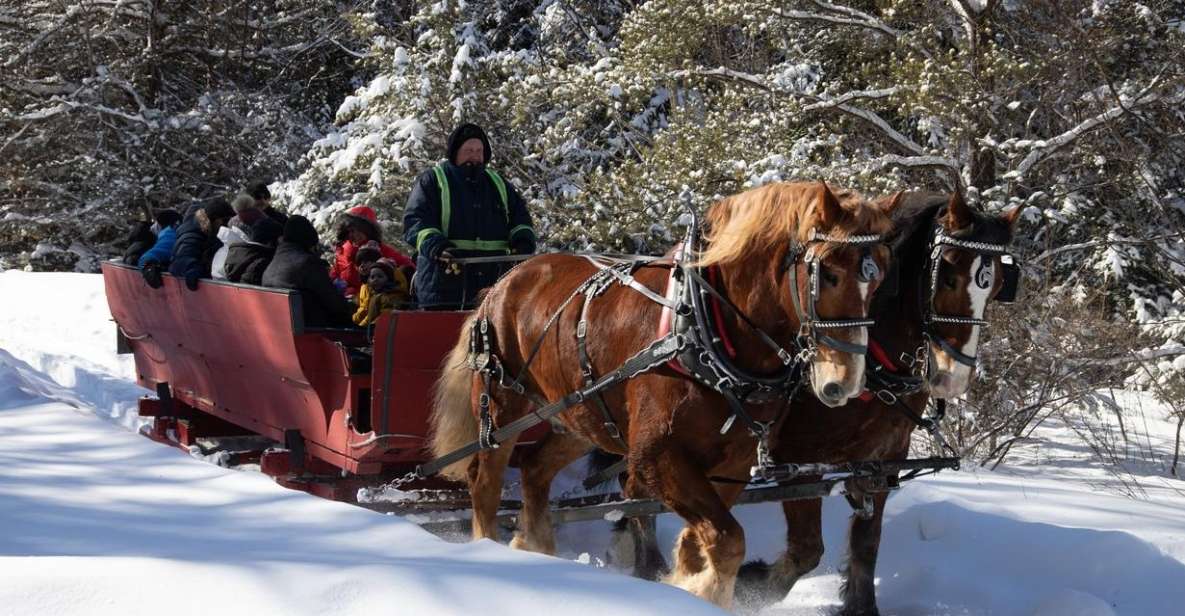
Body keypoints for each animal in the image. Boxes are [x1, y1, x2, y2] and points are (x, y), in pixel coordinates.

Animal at [426, 180, 895, 606]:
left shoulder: (733, 464)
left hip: (582, 417)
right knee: (485, 481)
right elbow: (728, 540)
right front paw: (699, 592)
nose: (846, 381)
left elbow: (702, 542)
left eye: (879, 282)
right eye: (828, 273)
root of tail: (503, 282)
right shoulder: (655, 456)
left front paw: (686, 583)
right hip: (503, 406)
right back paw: (493, 554)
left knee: (535, 469)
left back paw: (535, 550)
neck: (708, 327)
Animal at [734, 189, 1023, 611]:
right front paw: (749, 583)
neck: (873, 364)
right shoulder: (797, 457)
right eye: (948, 275)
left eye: (999, 284)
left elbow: (866, 545)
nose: (953, 377)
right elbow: (806, 550)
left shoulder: (882, 460)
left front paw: (861, 606)